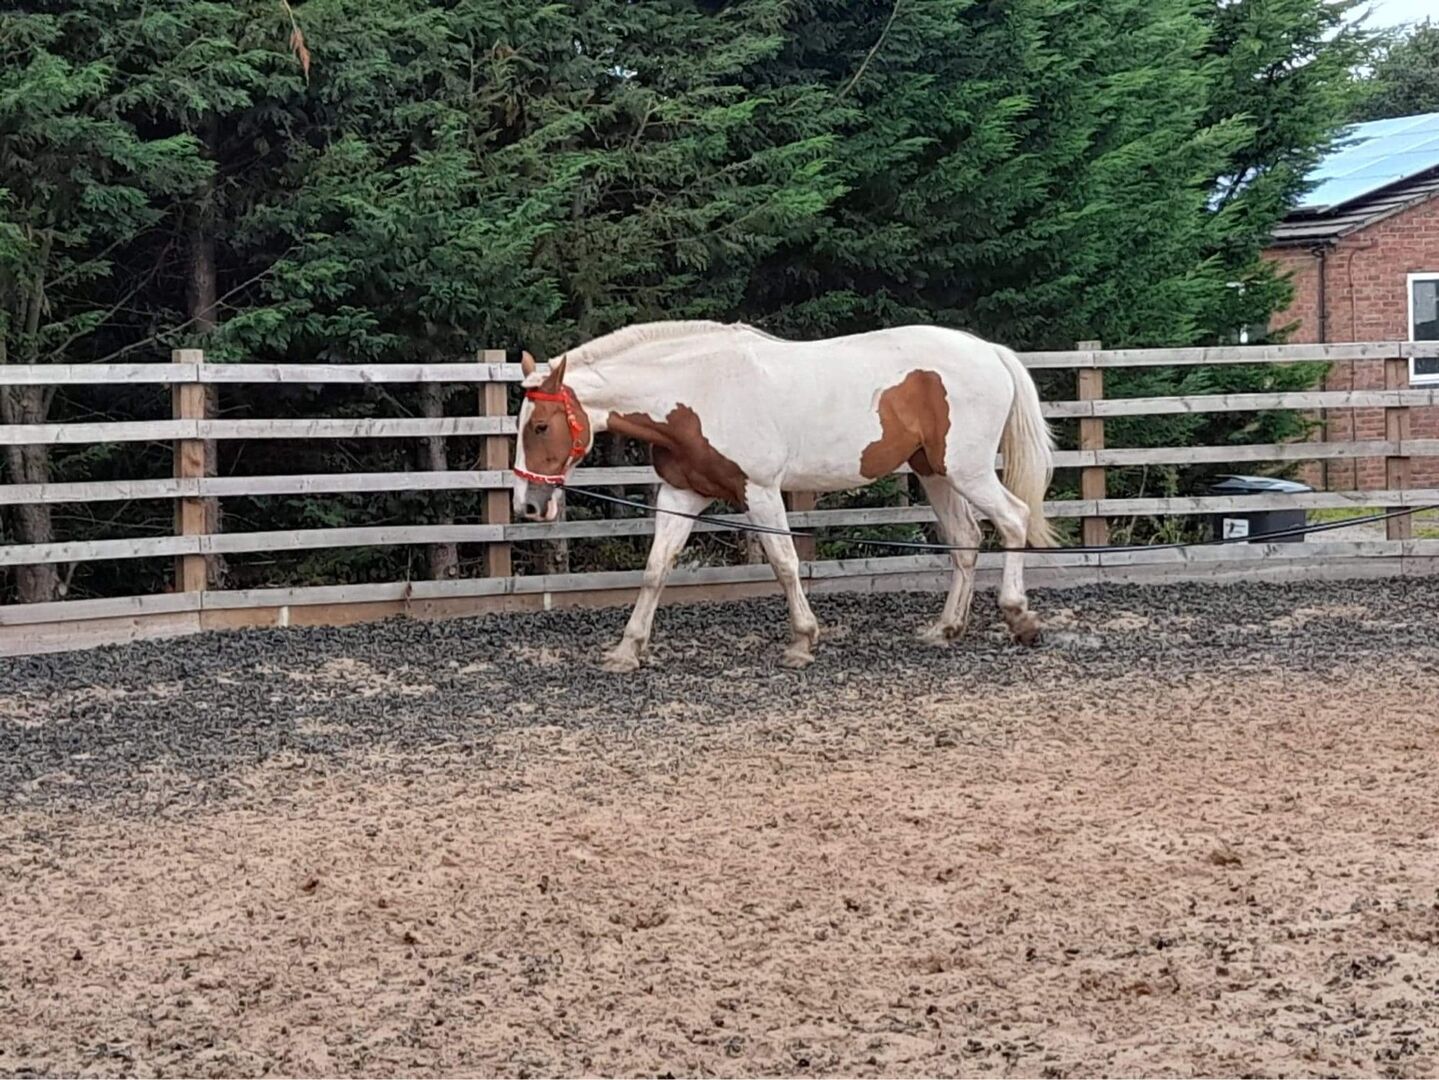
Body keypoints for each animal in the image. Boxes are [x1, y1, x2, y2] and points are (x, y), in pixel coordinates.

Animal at [511, 320, 1056, 673]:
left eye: (540, 426)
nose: (529, 506)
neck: (699, 390)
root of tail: (988, 350)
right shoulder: (682, 493)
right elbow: (655, 569)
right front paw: (627, 651)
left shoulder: (761, 491)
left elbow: (785, 562)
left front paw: (802, 641)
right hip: (935, 472)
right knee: (966, 539)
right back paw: (945, 630)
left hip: (968, 469)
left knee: (1012, 520)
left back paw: (1019, 617)